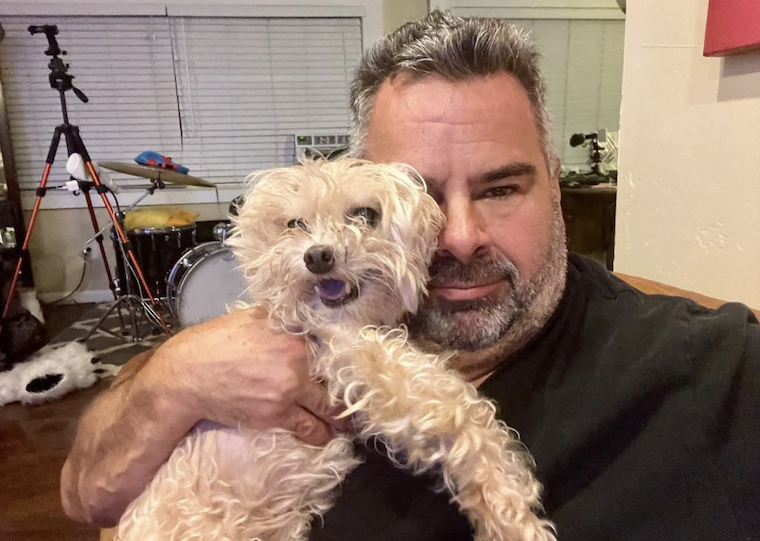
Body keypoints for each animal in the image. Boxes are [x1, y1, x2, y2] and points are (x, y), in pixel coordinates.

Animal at [114, 158, 555, 541]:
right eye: (295, 224)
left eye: (364, 214)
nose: (317, 256)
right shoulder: (368, 363)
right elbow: (468, 420)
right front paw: (518, 520)